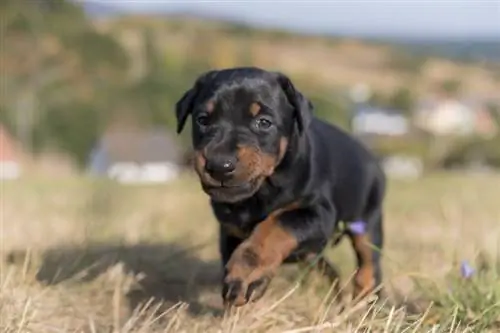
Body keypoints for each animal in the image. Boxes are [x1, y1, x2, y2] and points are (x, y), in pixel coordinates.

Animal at [176, 67, 386, 306]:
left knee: (368, 264)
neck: (261, 191)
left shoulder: (317, 212)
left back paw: (366, 302)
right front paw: (241, 294)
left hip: (368, 220)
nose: (220, 165)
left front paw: (245, 273)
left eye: (264, 122)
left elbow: (275, 226)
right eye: (202, 119)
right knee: (326, 268)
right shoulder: (229, 231)